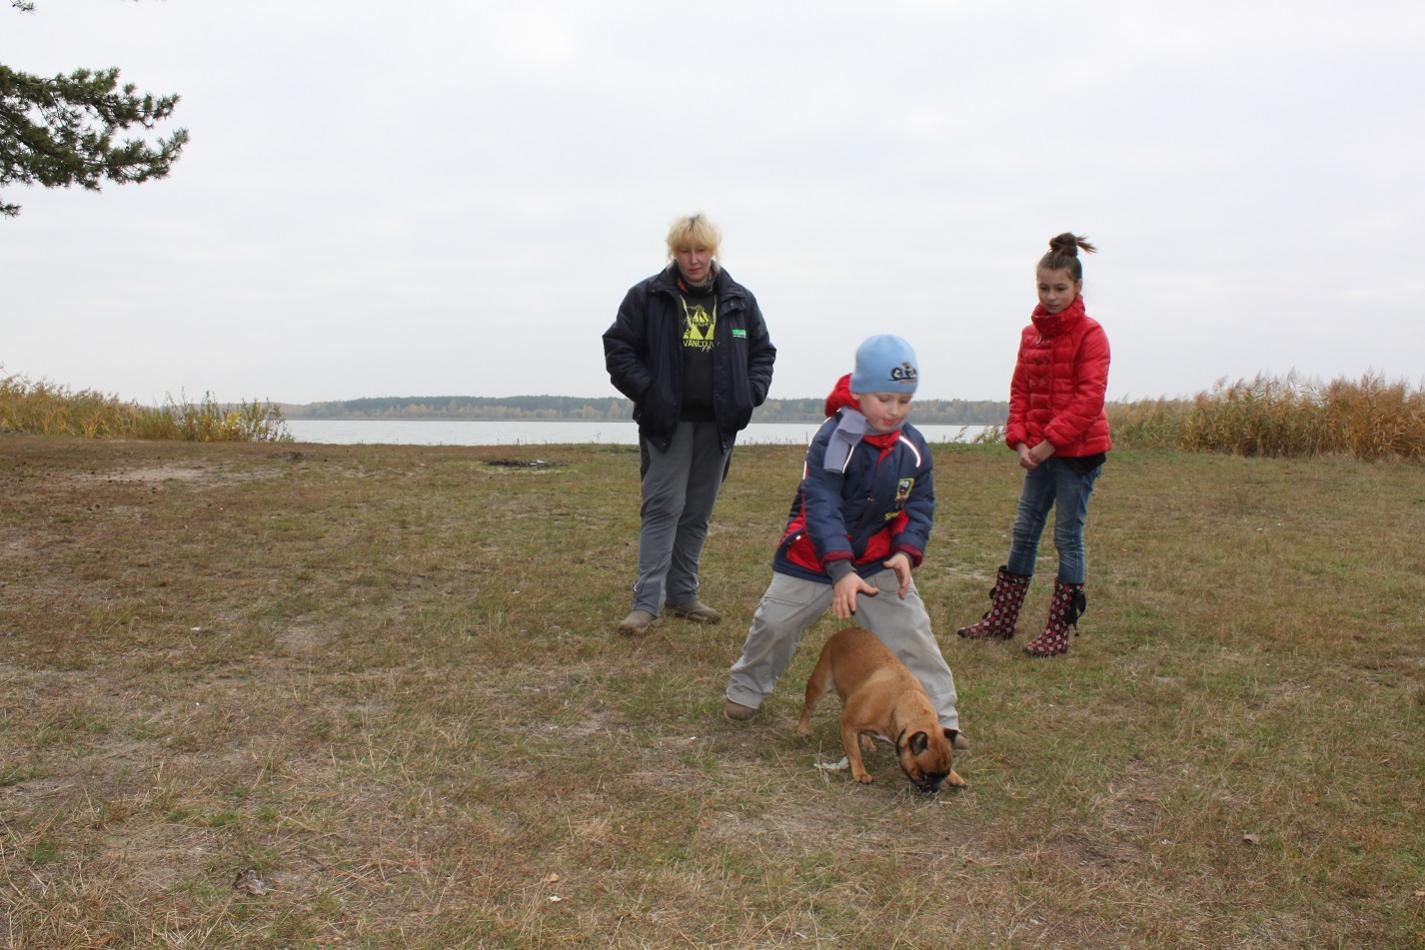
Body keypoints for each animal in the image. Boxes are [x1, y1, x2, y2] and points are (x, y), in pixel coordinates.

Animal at [796, 627, 966, 793]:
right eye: (925, 774)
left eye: (944, 774)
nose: (935, 789)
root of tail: (845, 631)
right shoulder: (847, 721)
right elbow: (854, 751)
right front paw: (860, 773)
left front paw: (955, 777)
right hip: (820, 686)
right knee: (808, 708)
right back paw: (803, 729)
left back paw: (867, 742)